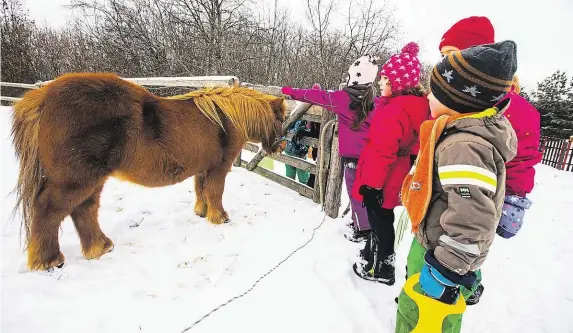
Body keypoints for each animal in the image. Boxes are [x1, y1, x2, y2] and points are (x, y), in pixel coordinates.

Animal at [8, 72, 286, 270]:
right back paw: (49, 260)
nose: (282, 146)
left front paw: (202, 212)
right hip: (76, 179)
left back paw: (100, 247)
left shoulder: (203, 169)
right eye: (281, 118)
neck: (225, 117)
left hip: (91, 179)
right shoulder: (219, 168)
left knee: (84, 209)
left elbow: (201, 191)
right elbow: (215, 192)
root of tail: (43, 98)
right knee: (49, 210)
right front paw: (220, 217)